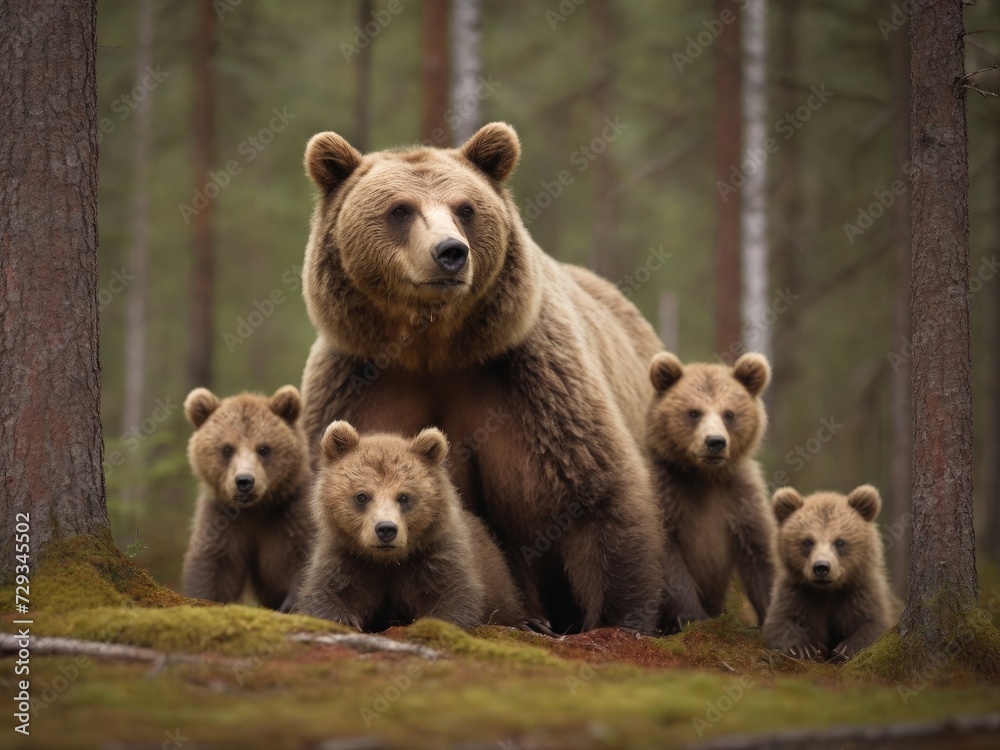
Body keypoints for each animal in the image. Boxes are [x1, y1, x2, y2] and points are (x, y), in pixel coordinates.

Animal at [182, 386, 313, 612]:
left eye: (264, 448)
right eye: (227, 448)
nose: (244, 481)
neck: (257, 508)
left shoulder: (292, 514)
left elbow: (303, 558)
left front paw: (291, 606)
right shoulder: (223, 520)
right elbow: (214, 565)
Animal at [294, 421, 527, 631]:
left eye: (404, 497)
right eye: (362, 496)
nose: (386, 529)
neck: (387, 561)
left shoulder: (435, 554)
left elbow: (452, 594)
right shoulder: (347, 556)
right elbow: (329, 592)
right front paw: (343, 619)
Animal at [646, 351, 778, 630]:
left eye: (729, 414)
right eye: (694, 412)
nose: (715, 442)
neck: (704, 477)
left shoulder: (739, 498)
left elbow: (761, 556)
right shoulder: (666, 494)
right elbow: (670, 566)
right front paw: (695, 617)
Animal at [762, 484, 896, 661]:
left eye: (840, 542)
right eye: (807, 541)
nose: (821, 567)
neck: (828, 590)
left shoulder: (859, 594)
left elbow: (874, 624)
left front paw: (846, 649)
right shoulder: (797, 594)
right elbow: (780, 620)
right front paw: (801, 648)